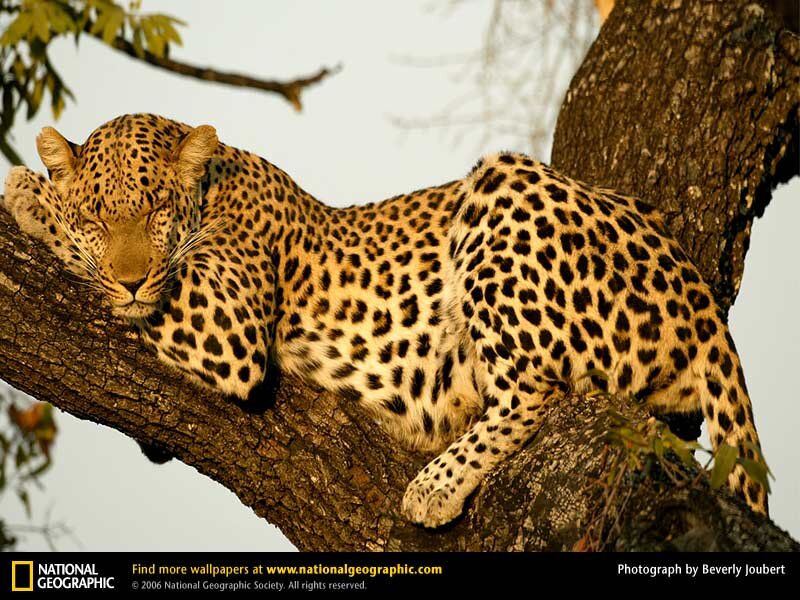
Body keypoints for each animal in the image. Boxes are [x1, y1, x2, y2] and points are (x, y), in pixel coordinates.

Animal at [1, 113, 767, 528]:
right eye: (99, 216)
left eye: (157, 208)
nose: (130, 280)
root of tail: (696, 290)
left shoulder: (230, 324)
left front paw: (27, 194)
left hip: (502, 185)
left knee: (533, 391)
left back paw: (434, 486)